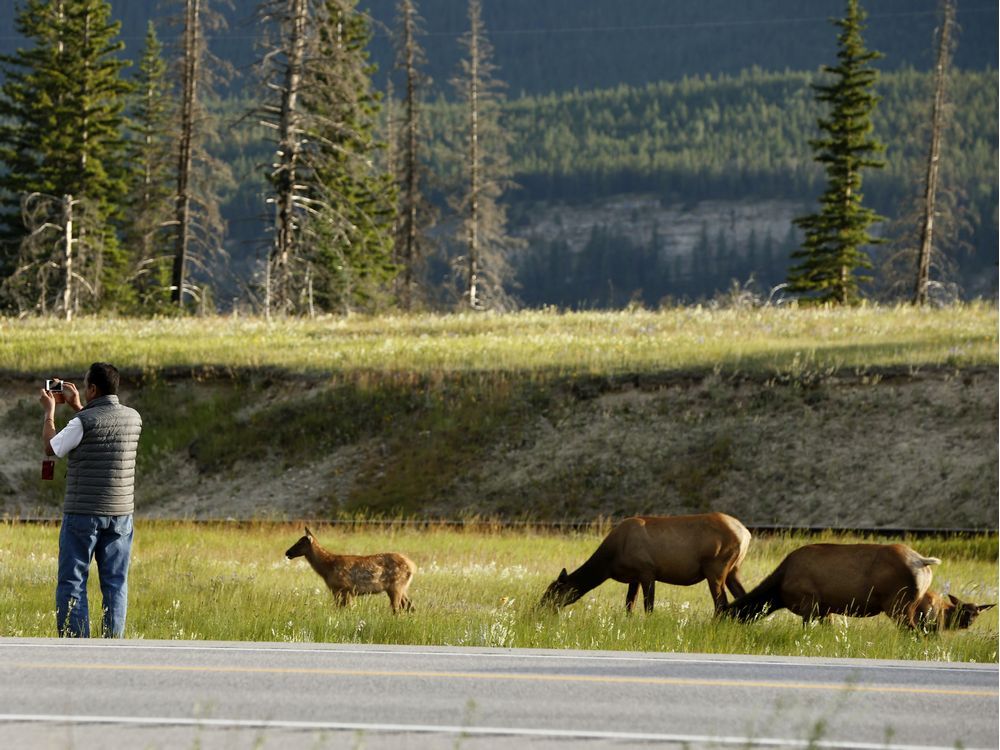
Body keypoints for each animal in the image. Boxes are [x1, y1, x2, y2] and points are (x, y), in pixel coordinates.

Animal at [286, 524, 414, 612]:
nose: (287, 552)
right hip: (401, 587)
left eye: (299, 543)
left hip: (396, 585)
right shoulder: (340, 590)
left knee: (397, 609)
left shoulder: (344, 588)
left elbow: (345, 608)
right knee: (410, 606)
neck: (327, 568)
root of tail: (412, 566)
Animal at [540, 512, 752, 616]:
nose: (539, 608)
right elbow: (629, 605)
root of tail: (746, 533)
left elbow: (648, 606)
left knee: (721, 604)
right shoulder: (634, 577)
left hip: (716, 567)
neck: (610, 562)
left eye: (552, 591)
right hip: (733, 569)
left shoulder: (646, 571)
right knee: (742, 597)